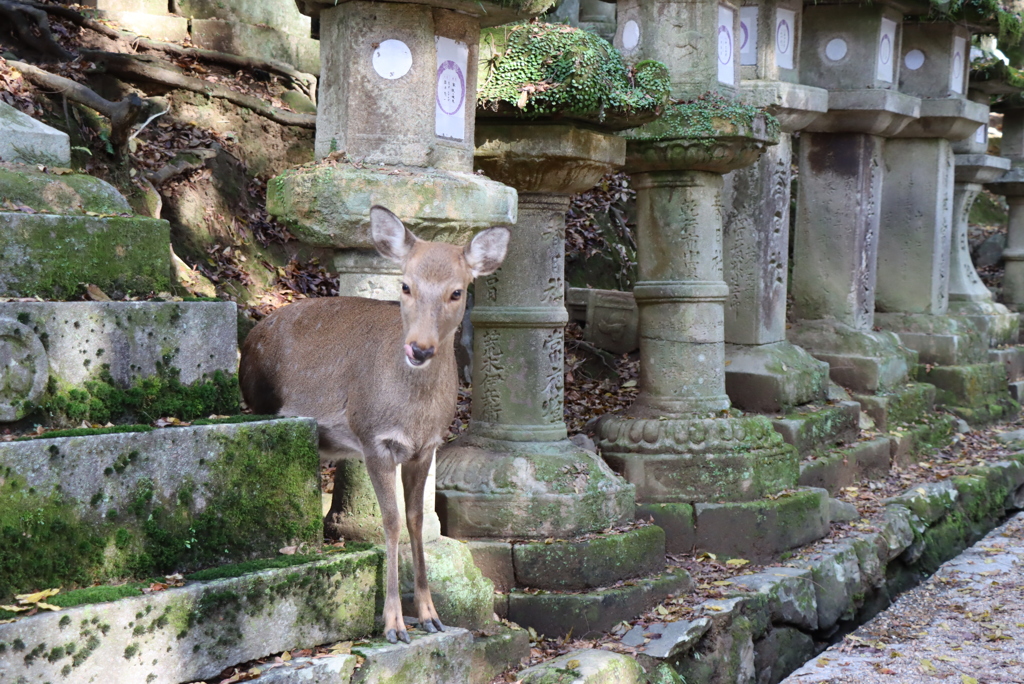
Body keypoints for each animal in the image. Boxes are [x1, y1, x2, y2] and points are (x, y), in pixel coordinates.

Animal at [239, 205, 512, 643]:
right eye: (405, 285)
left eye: (457, 291)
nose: (420, 348)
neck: (414, 414)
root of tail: (247, 340)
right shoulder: (374, 440)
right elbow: (391, 522)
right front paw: (394, 623)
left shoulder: (426, 448)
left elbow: (417, 521)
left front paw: (431, 615)